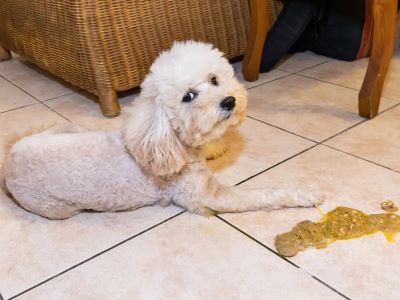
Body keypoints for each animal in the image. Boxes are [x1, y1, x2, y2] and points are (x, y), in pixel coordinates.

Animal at [2, 41, 322, 219]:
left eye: (214, 79)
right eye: (188, 96)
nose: (229, 101)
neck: (172, 143)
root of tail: (9, 161)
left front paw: (216, 146)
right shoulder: (208, 197)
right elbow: (263, 194)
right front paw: (303, 195)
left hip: (64, 128)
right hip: (57, 209)